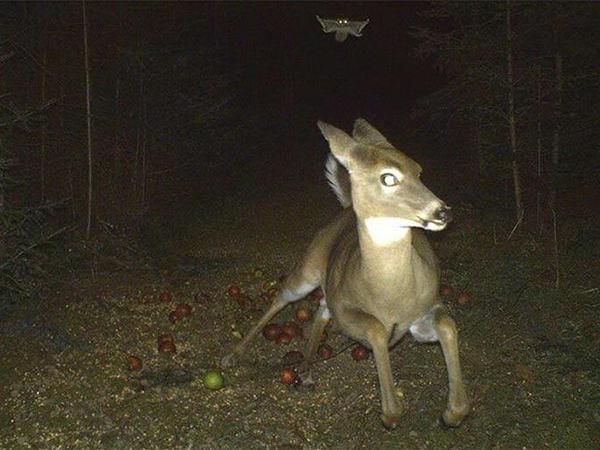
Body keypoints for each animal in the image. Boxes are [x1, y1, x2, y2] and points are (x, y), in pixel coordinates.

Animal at [220, 118, 468, 428]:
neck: (390, 296)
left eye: (418, 170)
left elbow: (447, 325)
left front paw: (452, 413)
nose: (443, 212)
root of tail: (346, 208)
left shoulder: (426, 308)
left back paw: (306, 369)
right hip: (309, 267)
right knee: (284, 296)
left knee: (321, 307)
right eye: (388, 178)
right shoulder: (347, 312)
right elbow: (375, 329)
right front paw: (390, 413)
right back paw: (232, 356)